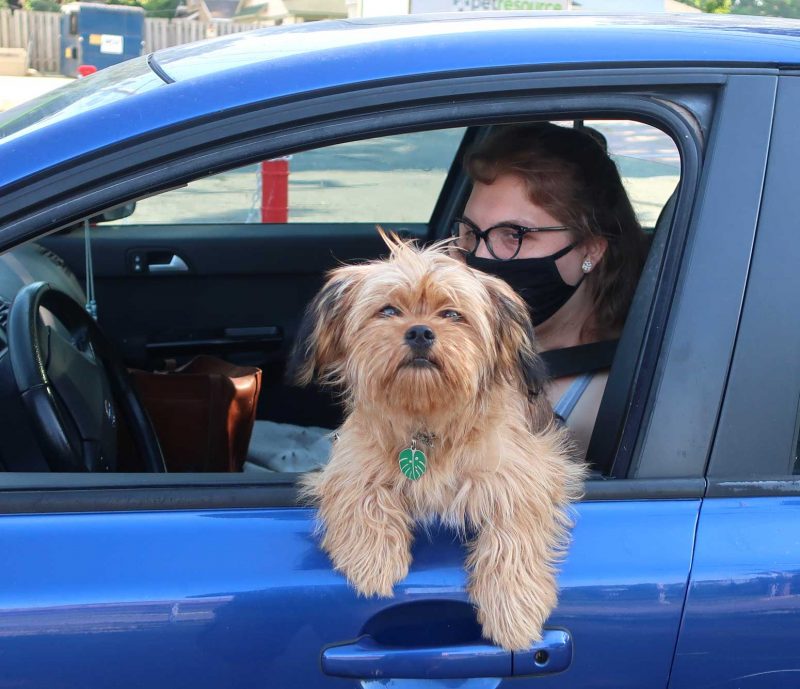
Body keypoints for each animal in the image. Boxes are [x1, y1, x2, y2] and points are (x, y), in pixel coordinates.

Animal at [290, 231, 584, 652]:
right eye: (388, 311)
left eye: (452, 315)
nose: (419, 331)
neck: (427, 420)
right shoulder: (349, 460)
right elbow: (360, 492)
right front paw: (373, 558)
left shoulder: (536, 468)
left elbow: (515, 524)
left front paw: (512, 605)